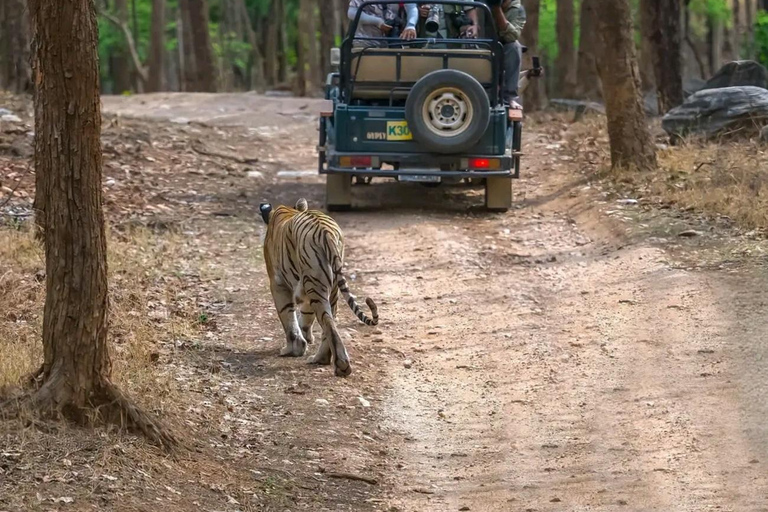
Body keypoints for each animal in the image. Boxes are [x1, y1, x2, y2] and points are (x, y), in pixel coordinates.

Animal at [258, 198, 379, 377]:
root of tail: (326, 231)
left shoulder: (277, 283)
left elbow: (287, 317)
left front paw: (293, 349)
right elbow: (305, 316)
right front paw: (306, 338)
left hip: (316, 285)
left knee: (328, 323)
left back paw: (339, 365)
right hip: (329, 287)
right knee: (330, 321)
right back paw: (321, 359)